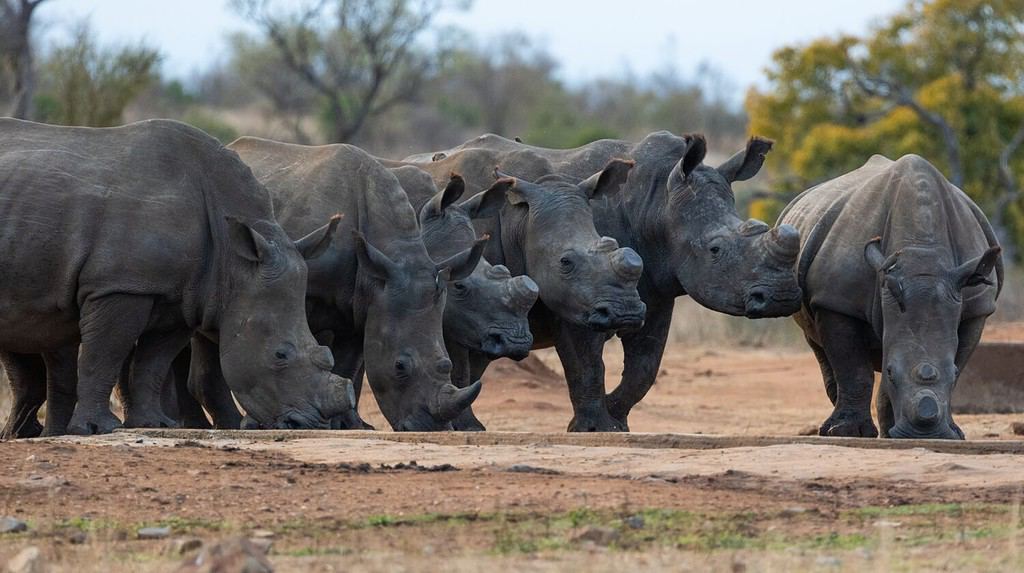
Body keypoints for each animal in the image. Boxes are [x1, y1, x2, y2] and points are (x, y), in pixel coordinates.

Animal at [0, 118, 356, 435]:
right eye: (280, 355)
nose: (309, 424)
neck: (233, 261)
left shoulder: (184, 297)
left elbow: (153, 363)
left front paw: (153, 424)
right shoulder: (120, 286)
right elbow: (103, 355)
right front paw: (95, 429)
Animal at [188, 138, 487, 429]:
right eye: (399, 366)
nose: (432, 428)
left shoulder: (362, 303)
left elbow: (347, 365)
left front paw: (348, 425)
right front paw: (260, 423)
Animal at [401, 133, 806, 429]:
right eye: (715, 249)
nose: (783, 297)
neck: (654, 202)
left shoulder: (655, 294)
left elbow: (644, 367)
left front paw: (616, 421)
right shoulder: (577, 295)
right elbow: (587, 363)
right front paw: (594, 428)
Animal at [778, 153, 1003, 437]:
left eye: (951, 372)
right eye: (891, 372)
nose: (924, 433)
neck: (922, 256)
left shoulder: (976, 307)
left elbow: (960, 362)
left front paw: (954, 434)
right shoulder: (836, 301)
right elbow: (853, 368)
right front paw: (847, 432)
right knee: (818, 345)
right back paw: (834, 427)